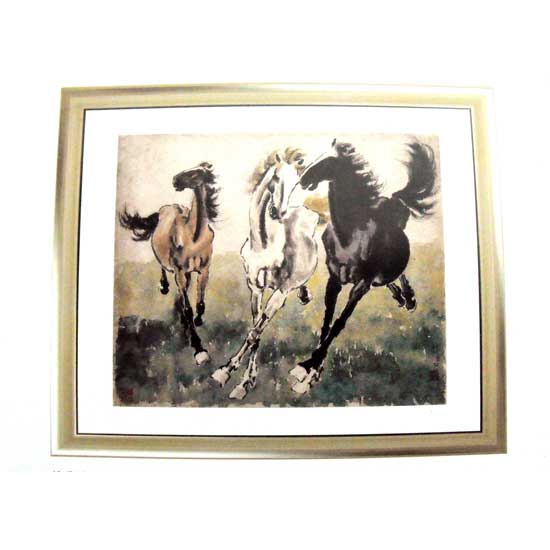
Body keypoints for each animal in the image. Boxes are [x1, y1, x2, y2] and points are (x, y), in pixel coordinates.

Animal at [118, 162, 219, 366]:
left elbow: (200, 304)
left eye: (196, 173)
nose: (175, 180)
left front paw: (197, 321)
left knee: (183, 291)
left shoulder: (204, 270)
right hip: (170, 265)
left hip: (187, 273)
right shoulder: (179, 271)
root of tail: (166, 208)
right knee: (165, 271)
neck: (194, 237)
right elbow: (188, 309)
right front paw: (199, 350)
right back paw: (164, 286)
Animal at [211, 148, 320, 400]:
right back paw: (305, 295)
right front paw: (241, 379)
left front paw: (230, 376)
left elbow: (255, 331)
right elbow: (255, 330)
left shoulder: (280, 293)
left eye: (295, 182)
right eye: (276, 178)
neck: (264, 244)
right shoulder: (255, 289)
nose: (279, 212)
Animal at [289, 139, 438, 394]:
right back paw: (401, 297)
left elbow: (339, 323)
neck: (348, 235)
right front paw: (311, 369)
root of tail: (394, 199)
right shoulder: (335, 279)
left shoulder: (361, 285)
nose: (303, 180)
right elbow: (327, 320)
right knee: (389, 279)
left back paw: (408, 298)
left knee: (398, 272)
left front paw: (308, 369)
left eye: (329, 161)